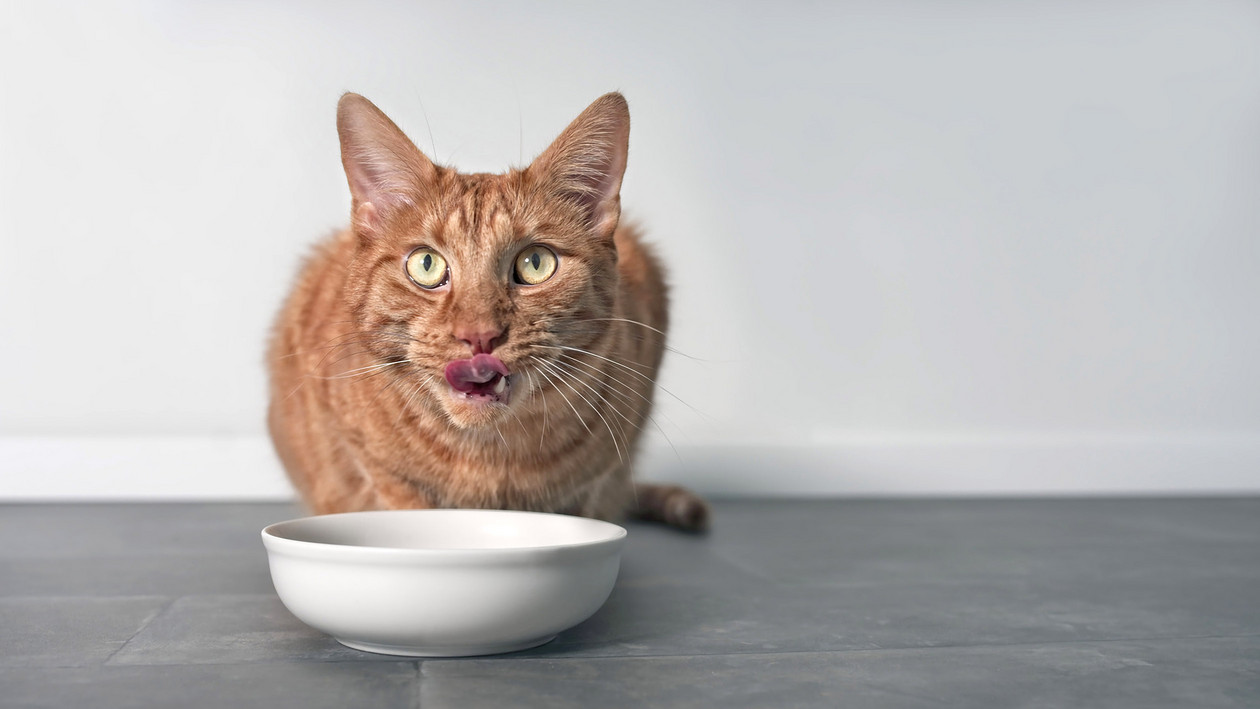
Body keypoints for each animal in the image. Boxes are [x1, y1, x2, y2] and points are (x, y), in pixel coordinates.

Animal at [267, 90, 715, 533]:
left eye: (536, 263)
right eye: (426, 265)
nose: (479, 335)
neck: (487, 457)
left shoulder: (594, 482)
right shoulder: (377, 468)